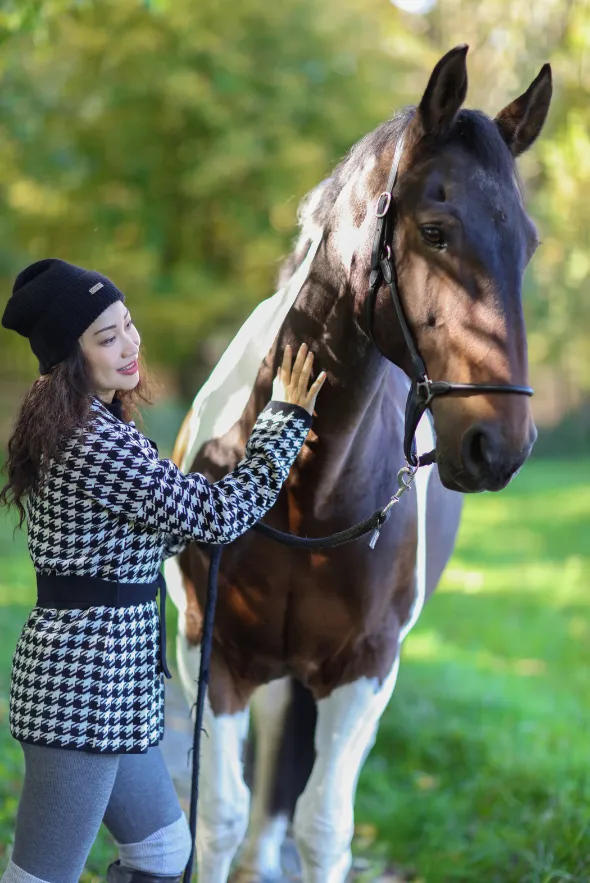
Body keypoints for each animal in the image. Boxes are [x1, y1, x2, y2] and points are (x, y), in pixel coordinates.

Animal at [164, 46, 552, 883]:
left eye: (529, 243)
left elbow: (322, 826)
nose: (500, 444)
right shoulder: (210, 651)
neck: (306, 497)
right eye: (436, 230)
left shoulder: (367, 670)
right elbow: (218, 814)